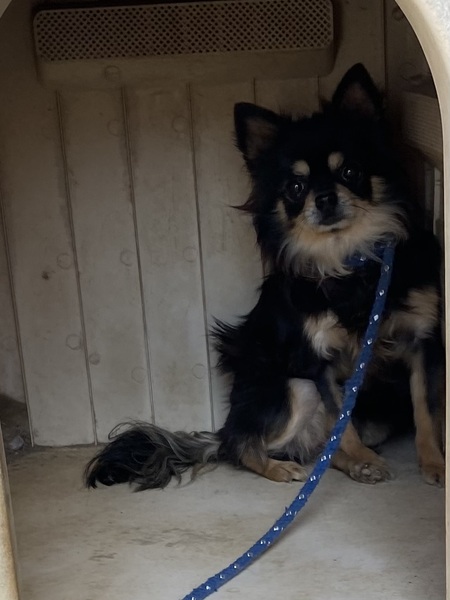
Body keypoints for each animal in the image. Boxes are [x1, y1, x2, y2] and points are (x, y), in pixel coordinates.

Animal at [84, 64, 445, 491]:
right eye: (296, 187)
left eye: (350, 171)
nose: (324, 198)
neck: (349, 260)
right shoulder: (317, 365)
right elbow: (341, 419)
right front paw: (364, 459)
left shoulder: (422, 343)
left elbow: (425, 410)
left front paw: (434, 463)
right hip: (293, 388)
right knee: (239, 444)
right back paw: (282, 466)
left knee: (323, 449)